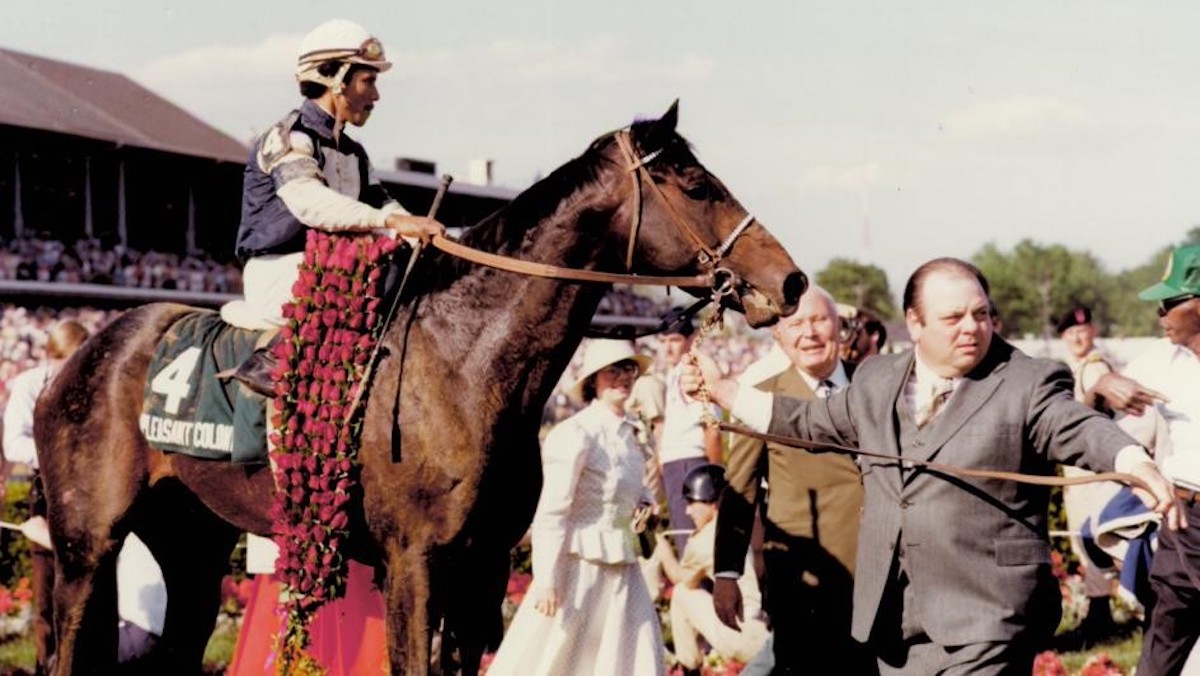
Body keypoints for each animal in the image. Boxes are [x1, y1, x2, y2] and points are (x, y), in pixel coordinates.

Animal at [35, 102, 806, 676]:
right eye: (698, 186)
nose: (792, 282)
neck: (466, 363)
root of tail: (77, 360)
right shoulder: (414, 562)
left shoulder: (483, 567)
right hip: (86, 545)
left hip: (190, 539)